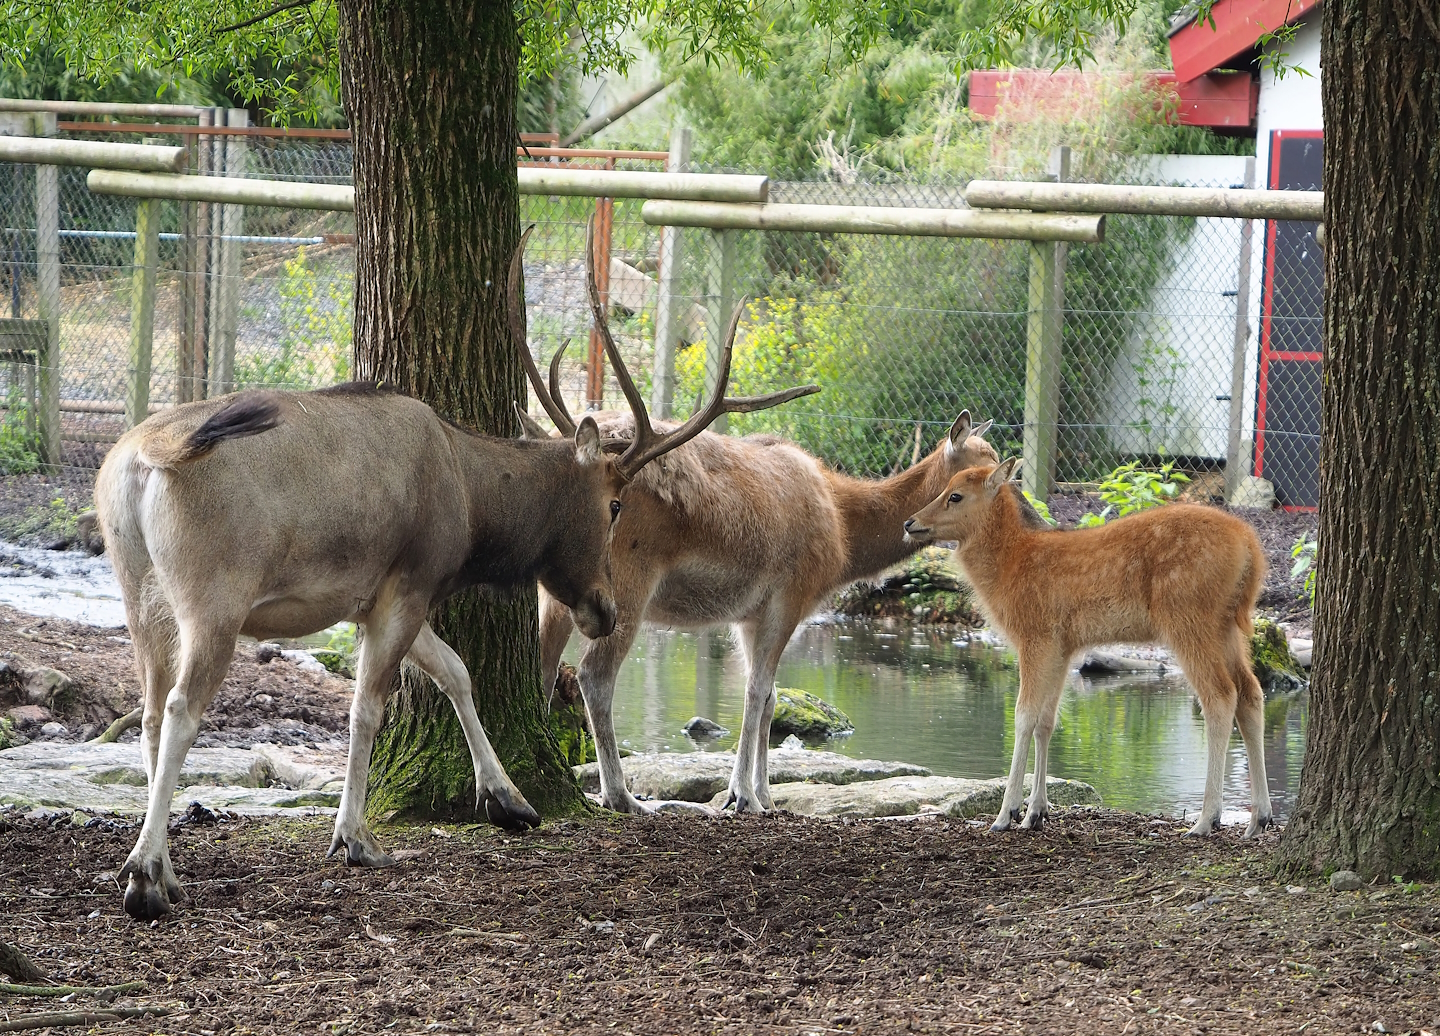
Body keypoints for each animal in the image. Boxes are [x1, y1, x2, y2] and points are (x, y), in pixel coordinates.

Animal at [92, 227, 815, 922]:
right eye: (614, 504)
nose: (606, 608)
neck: (472, 511)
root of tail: (140, 462)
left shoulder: (382, 597)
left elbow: (456, 673)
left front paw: (510, 800)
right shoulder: (409, 582)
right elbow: (367, 708)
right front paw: (356, 838)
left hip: (140, 592)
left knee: (150, 710)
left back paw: (166, 866)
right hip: (214, 596)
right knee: (181, 709)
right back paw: (146, 875)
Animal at [522, 224, 1033, 815]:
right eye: (982, 472)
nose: (1029, 513)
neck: (844, 534)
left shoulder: (748, 613)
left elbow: (765, 698)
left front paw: (757, 793)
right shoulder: (793, 592)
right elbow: (760, 692)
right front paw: (745, 796)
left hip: (557, 591)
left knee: (540, 664)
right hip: (626, 580)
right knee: (594, 674)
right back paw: (622, 795)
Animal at [904, 458, 1274, 838]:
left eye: (956, 495)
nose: (910, 522)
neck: (1010, 565)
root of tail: (1250, 548)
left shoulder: (1036, 636)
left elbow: (1023, 717)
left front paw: (1007, 814)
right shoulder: (1063, 646)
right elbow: (1047, 721)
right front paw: (1036, 812)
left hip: (1188, 618)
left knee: (1220, 696)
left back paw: (1205, 819)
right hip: (1227, 626)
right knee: (1251, 692)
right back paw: (1259, 817)